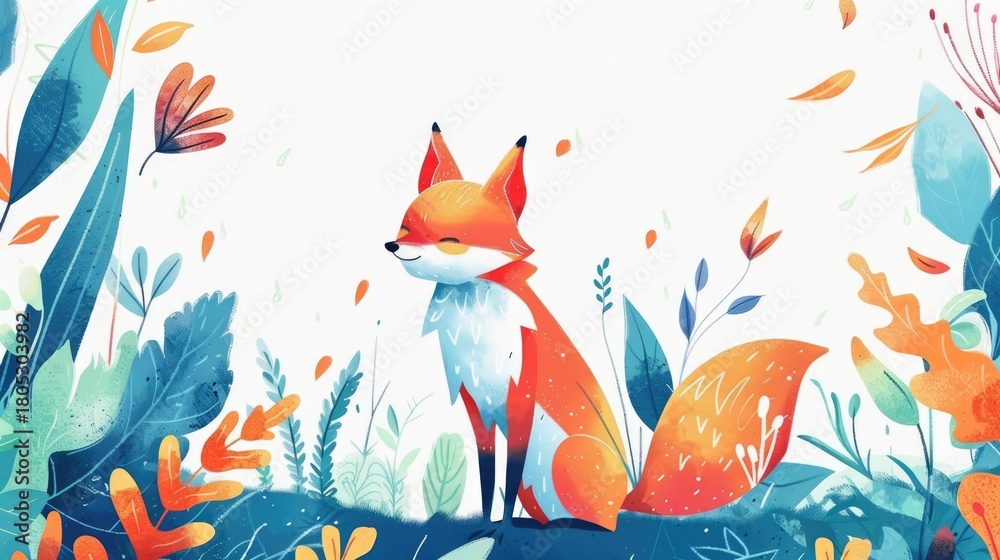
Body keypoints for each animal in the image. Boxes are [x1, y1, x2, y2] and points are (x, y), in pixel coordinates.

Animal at [385, 123, 828, 530]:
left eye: (450, 240)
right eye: (406, 228)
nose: (392, 246)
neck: (477, 333)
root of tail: (632, 493)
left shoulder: (520, 399)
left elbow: (507, 478)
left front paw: (503, 528)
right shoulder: (476, 406)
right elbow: (486, 474)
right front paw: (483, 526)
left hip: (566, 458)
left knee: (604, 523)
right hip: (538, 487)